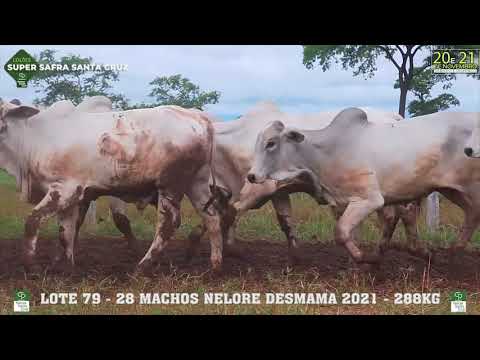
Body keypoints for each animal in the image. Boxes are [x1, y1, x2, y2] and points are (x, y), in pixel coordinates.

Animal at [0, 97, 223, 272]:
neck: (33, 137)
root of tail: (198, 118)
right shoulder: (73, 197)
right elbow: (66, 233)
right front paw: (66, 268)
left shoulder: (64, 190)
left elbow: (33, 222)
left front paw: (31, 266)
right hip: (196, 183)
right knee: (212, 217)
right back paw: (215, 267)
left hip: (171, 185)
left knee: (169, 223)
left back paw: (143, 266)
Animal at [246, 108, 480, 262]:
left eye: (271, 143)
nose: (251, 176)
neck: (327, 152)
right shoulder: (342, 202)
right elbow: (351, 230)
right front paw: (373, 255)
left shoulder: (370, 199)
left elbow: (341, 231)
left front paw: (362, 256)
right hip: (452, 190)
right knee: (471, 213)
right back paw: (451, 249)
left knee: (473, 213)